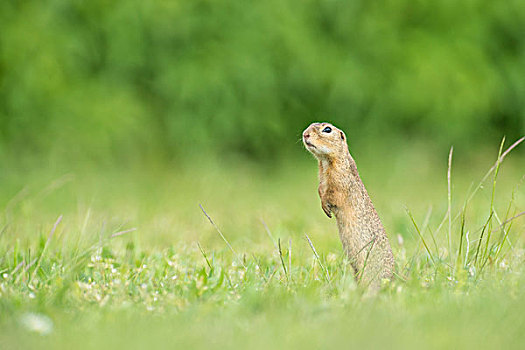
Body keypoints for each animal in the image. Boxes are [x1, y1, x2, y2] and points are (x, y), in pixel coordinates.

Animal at [302, 121, 392, 288]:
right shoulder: (321, 180)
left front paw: (326, 208)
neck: (325, 162)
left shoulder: (339, 182)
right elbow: (320, 190)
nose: (305, 134)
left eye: (327, 129)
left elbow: (332, 195)